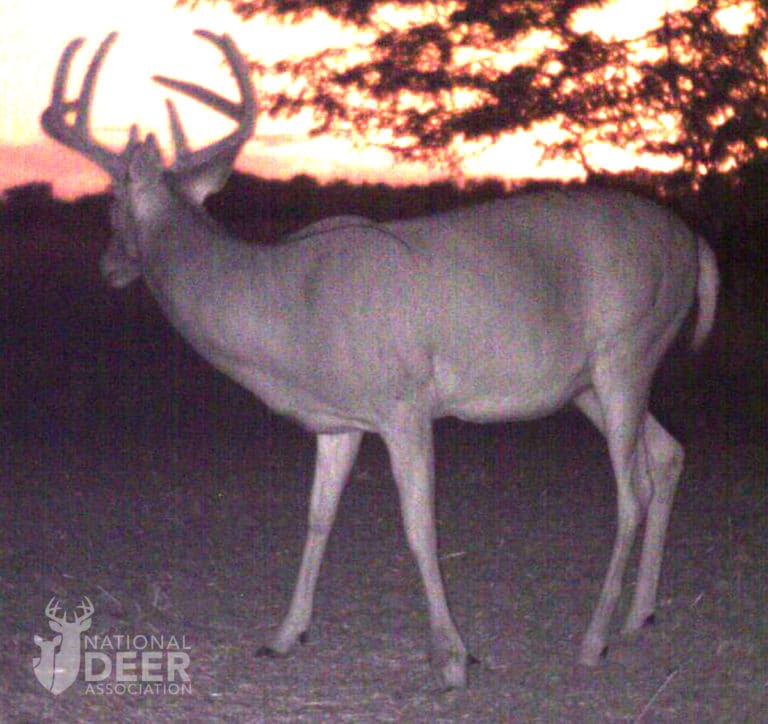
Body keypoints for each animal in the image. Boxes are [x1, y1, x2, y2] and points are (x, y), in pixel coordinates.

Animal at [41, 30, 719, 690]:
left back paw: (593, 639)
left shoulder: (404, 401)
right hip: (589, 383)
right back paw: (638, 616)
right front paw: (284, 634)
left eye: (110, 205)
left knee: (632, 489)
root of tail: (697, 244)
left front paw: (452, 659)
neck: (282, 308)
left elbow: (420, 527)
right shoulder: (339, 420)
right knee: (667, 454)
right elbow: (317, 517)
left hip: (626, 351)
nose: (109, 266)